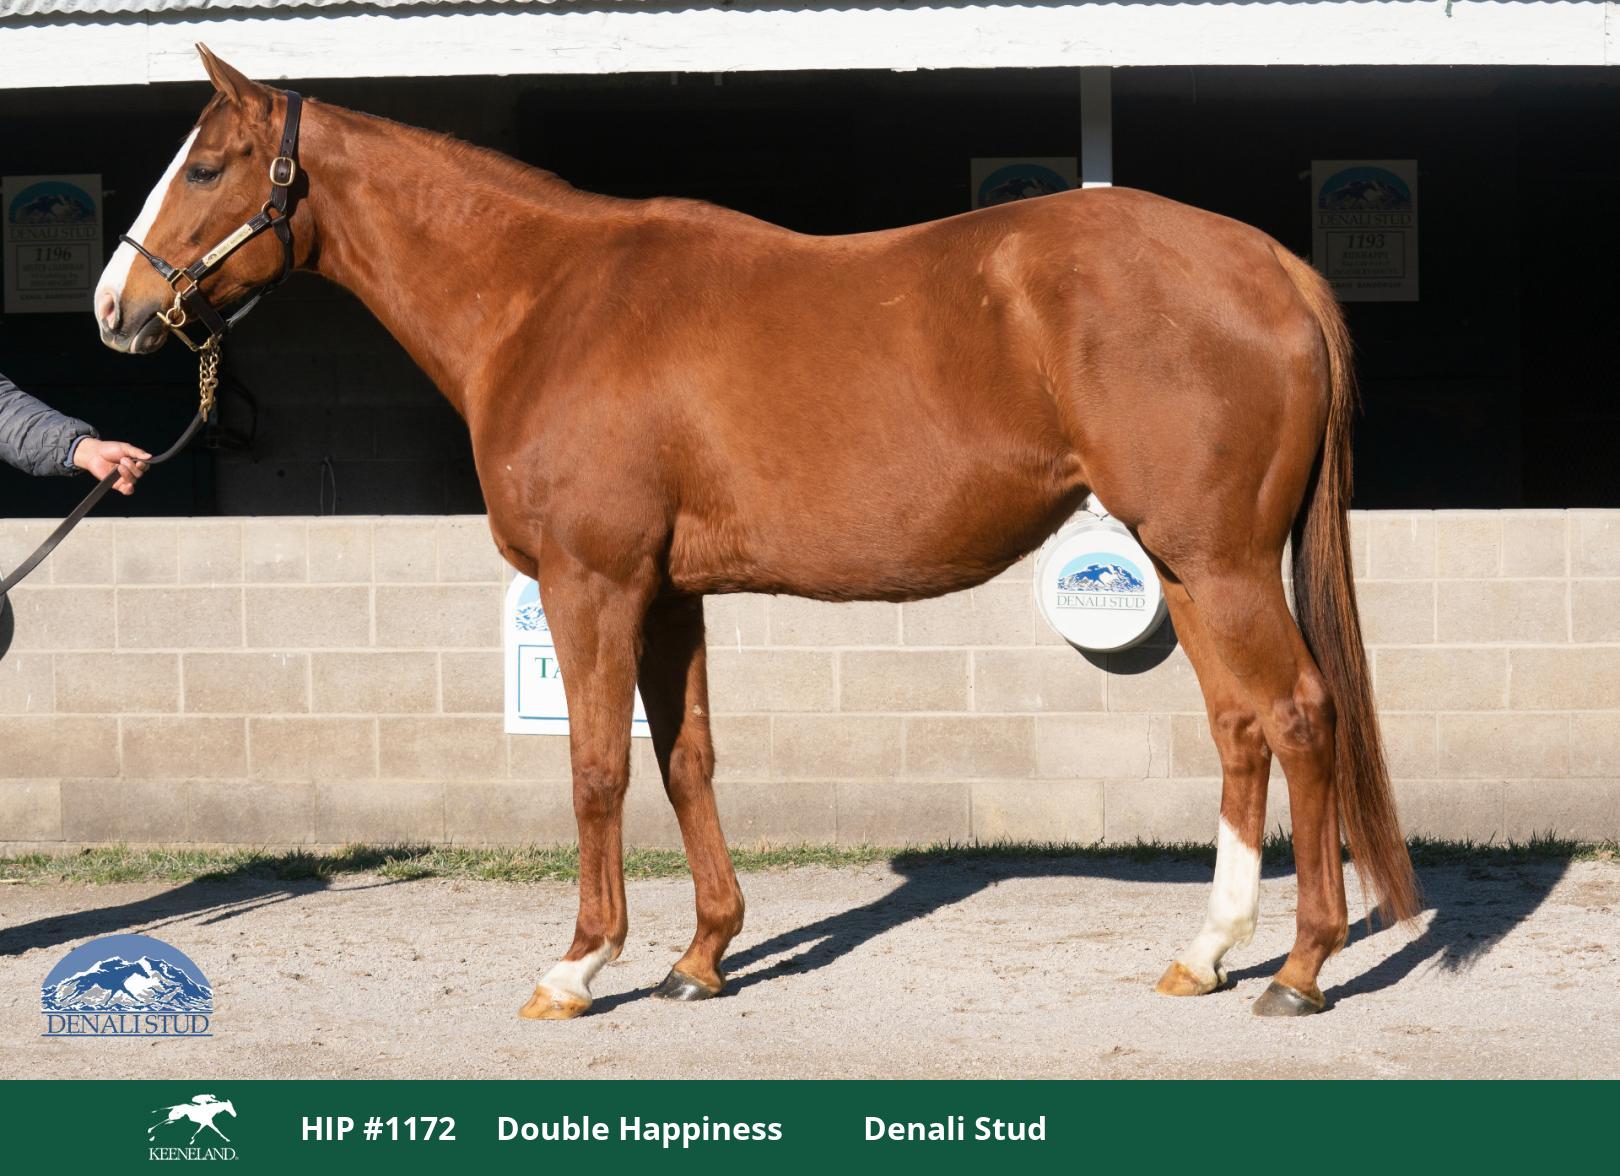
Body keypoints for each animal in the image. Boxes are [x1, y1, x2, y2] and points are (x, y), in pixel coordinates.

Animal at [94, 46, 1419, 1021]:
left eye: (208, 165)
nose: (116, 306)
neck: (541, 299)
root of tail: (1272, 266)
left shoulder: (592, 583)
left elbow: (597, 769)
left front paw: (580, 965)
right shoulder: (670, 592)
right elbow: (688, 761)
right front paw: (702, 957)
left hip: (1223, 563)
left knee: (1301, 717)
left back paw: (1303, 972)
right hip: (1192, 565)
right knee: (1242, 729)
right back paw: (1209, 952)